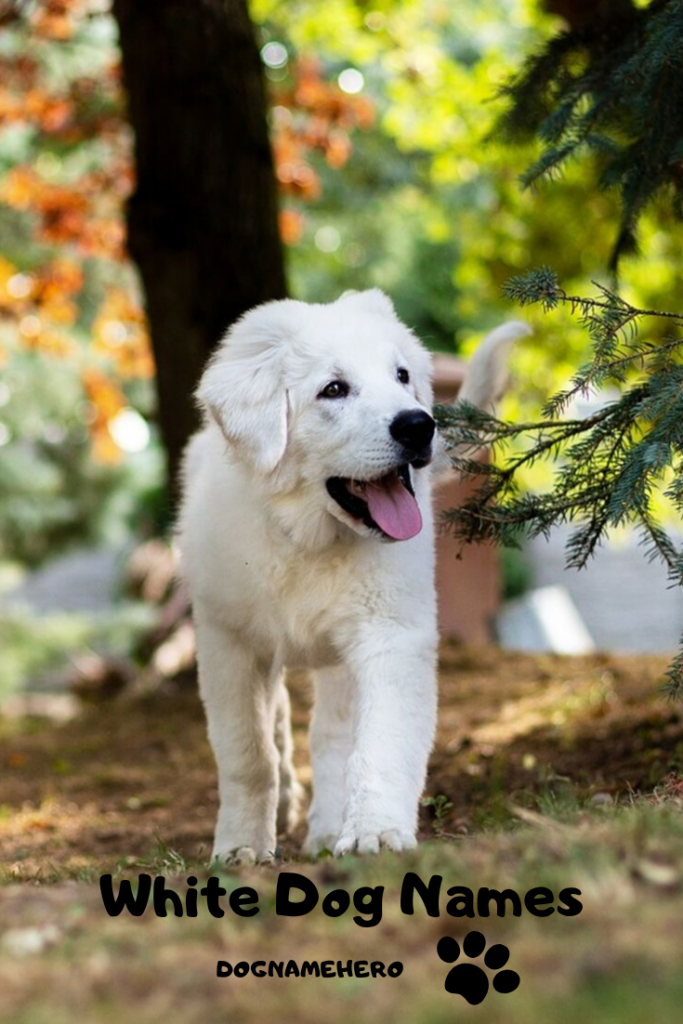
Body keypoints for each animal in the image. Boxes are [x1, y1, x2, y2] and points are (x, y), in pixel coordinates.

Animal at [178, 290, 528, 864]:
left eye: (402, 375)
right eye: (334, 389)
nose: (418, 425)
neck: (308, 539)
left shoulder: (390, 635)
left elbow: (379, 744)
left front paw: (375, 833)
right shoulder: (227, 643)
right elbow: (248, 753)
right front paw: (241, 846)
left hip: (340, 656)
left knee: (332, 736)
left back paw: (325, 831)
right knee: (281, 725)